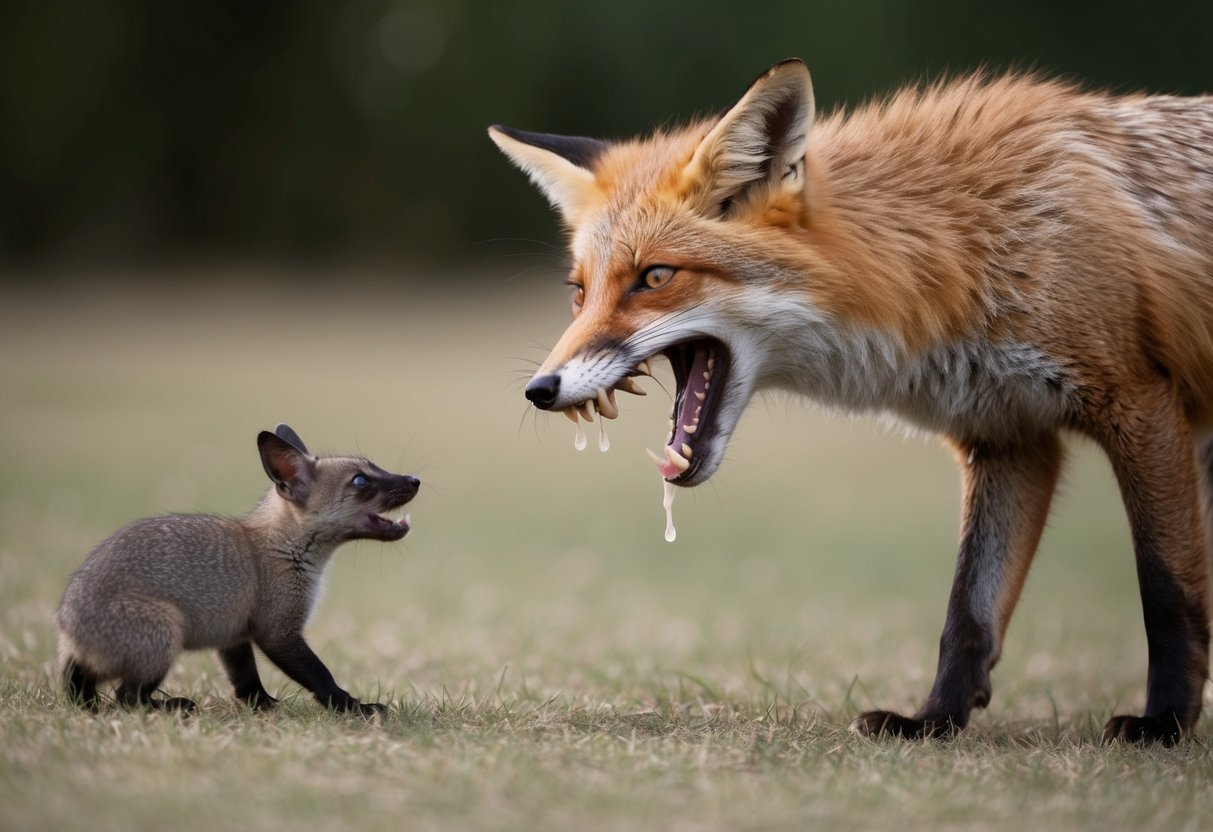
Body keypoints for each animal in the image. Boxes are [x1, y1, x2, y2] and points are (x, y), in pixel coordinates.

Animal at [56, 424, 420, 716]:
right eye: (361, 480)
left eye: (375, 467)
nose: (415, 479)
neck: (281, 549)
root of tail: (69, 627)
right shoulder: (278, 632)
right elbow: (321, 676)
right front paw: (354, 707)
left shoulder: (233, 636)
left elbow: (246, 682)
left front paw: (263, 707)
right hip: (164, 636)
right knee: (126, 697)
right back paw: (173, 707)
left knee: (84, 693)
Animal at [489, 58, 1213, 745]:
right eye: (579, 292)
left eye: (655, 277)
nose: (539, 390)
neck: (959, 247)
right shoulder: (1009, 435)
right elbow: (968, 613)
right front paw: (934, 723)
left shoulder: (1138, 400)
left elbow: (1165, 589)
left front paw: (1164, 726)